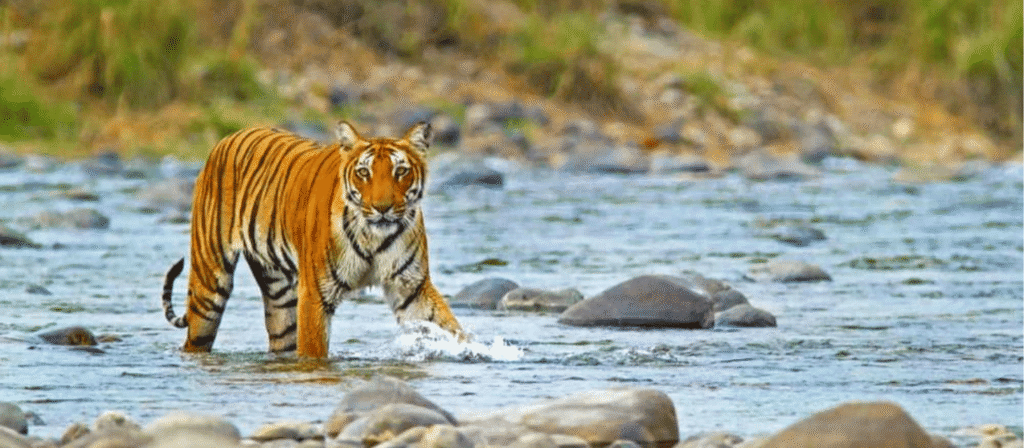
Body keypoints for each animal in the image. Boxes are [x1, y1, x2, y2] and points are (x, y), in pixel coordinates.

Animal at [161, 121, 465, 358]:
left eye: (400, 171)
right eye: (364, 172)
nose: (382, 208)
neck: (374, 236)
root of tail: (227, 138)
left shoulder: (411, 287)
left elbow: (448, 327)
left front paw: (471, 351)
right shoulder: (315, 295)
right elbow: (313, 351)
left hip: (280, 295)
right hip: (209, 284)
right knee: (196, 337)